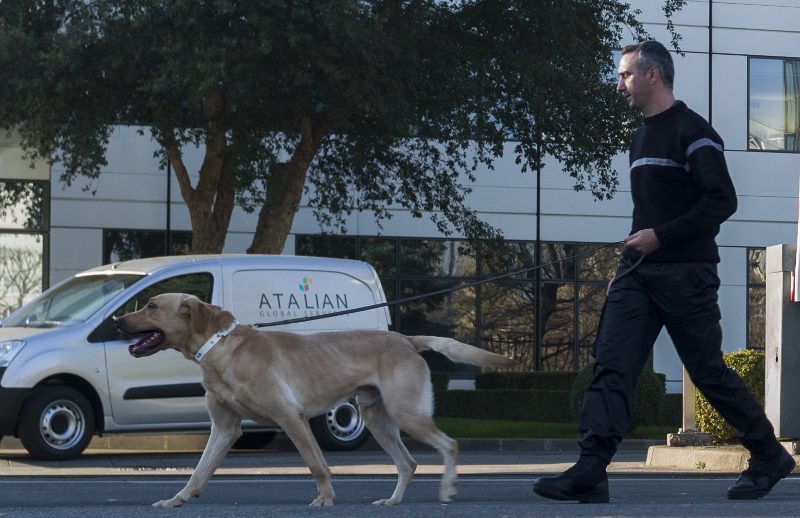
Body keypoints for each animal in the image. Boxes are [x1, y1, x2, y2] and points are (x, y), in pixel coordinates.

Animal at [115, 294, 516, 510]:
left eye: (151, 305)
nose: (116, 321)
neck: (220, 350)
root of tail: (407, 339)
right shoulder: (225, 428)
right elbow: (199, 471)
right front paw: (178, 499)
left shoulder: (290, 417)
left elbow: (317, 464)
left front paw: (325, 499)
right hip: (378, 419)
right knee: (409, 463)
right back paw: (393, 502)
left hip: (406, 414)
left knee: (449, 445)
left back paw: (448, 488)